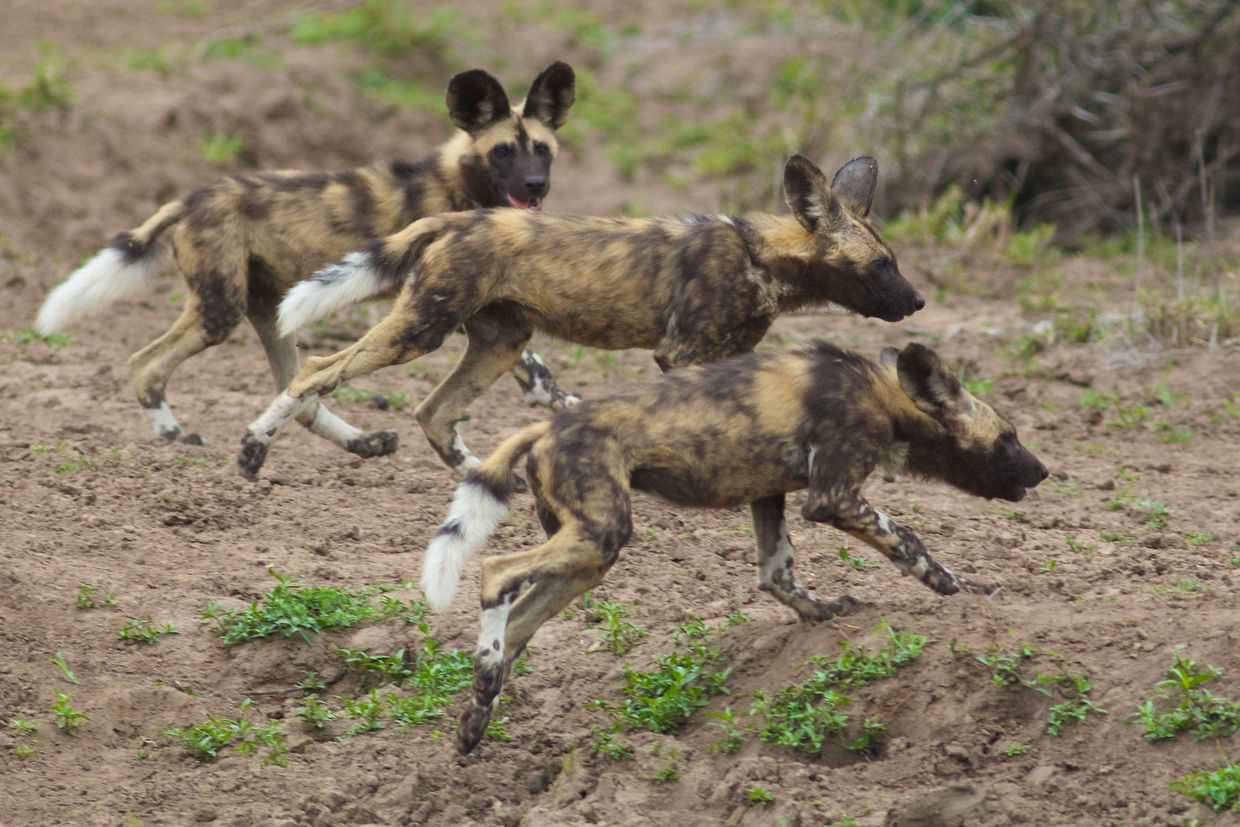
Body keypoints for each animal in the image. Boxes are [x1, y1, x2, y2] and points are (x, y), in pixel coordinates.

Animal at [33, 63, 575, 453]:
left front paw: (561, 401)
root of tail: (189, 198)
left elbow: (532, 364)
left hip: (269, 314)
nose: (535, 185)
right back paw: (175, 438)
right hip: (220, 313)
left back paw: (363, 442)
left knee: (300, 387)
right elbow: (531, 363)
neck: (460, 184)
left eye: (543, 150)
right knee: (147, 365)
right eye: (503, 151)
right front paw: (557, 400)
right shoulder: (444, 300)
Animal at [239, 153, 922, 478]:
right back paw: (251, 450)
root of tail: (457, 218)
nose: (917, 301)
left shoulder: (727, 356)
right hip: (417, 332)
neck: (762, 255)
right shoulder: (681, 354)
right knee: (316, 370)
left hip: (500, 341)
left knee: (434, 412)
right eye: (881, 266)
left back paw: (491, 481)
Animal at [421, 339, 1051, 753]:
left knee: (519, 624)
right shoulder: (833, 497)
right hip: (601, 534)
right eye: (1010, 438)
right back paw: (483, 685)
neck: (888, 400)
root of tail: (547, 426)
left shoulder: (771, 496)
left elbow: (778, 575)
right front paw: (957, 589)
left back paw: (476, 716)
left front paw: (823, 613)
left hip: (591, 554)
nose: (1044, 471)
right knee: (495, 573)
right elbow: (911, 543)